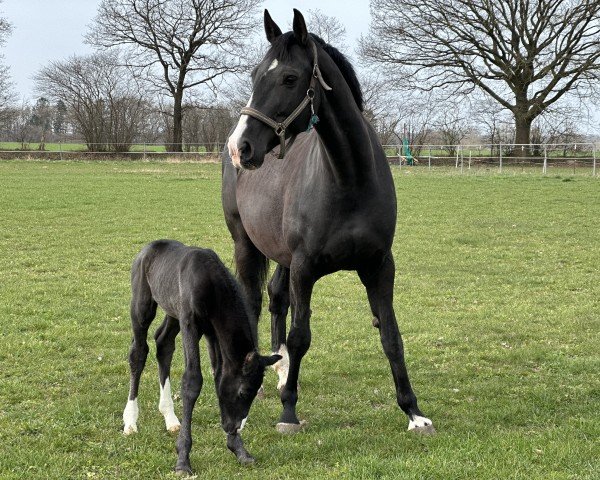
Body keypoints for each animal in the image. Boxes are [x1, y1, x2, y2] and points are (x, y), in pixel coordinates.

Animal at [123, 242, 282, 474]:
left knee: (163, 344)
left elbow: (219, 375)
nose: (232, 426)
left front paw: (239, 449)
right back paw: (130, 421)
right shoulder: (190, 323)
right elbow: (192, 381)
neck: (211, 284)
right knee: (139, 353)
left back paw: (170, 418)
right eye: (244, 392)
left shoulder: (212, 332)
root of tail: (148, 248)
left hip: (172, 312)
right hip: (142, 306)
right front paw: (183, 460)